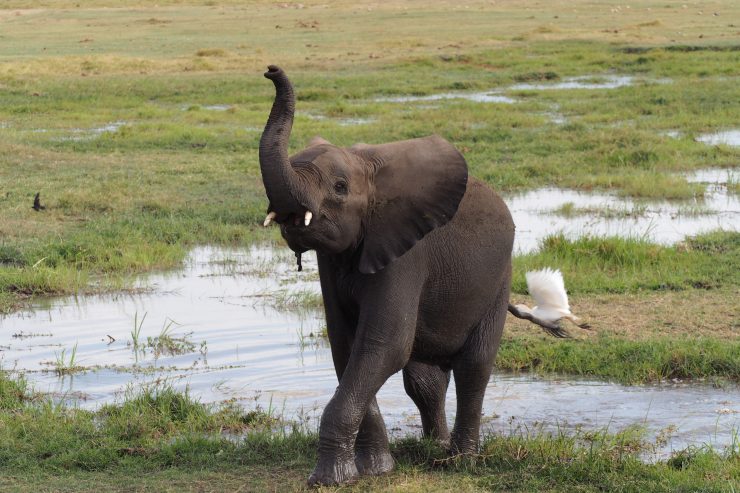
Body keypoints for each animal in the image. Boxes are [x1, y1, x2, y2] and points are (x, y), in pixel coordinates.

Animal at [260, 65, 568, 484]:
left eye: (340, 187)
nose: (271, 70)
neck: (370, 170)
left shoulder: (406, 255)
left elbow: (384, 345)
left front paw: (329, 480)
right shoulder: (333, 261)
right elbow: (348, 346)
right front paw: (375, 470)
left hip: (499, 279)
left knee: (474, 368)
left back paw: (459, 460)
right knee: (424, 380)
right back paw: (435, 447)